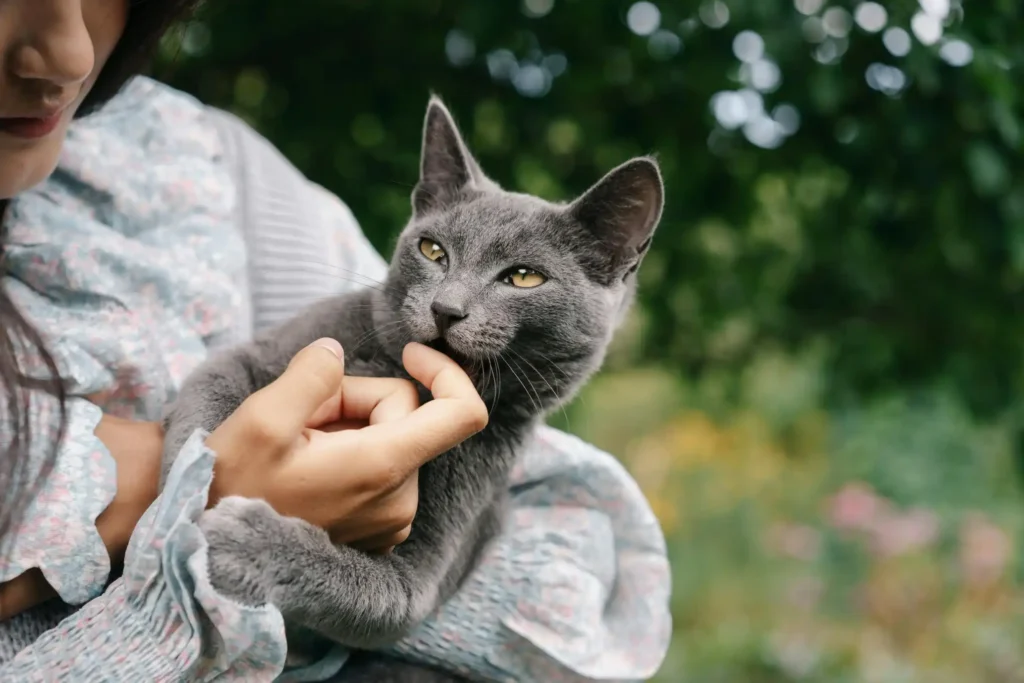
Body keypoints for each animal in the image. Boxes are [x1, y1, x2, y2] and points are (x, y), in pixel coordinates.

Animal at [159, 97, 663, 683]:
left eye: (523, 278)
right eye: (432, 249)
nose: (446, 308)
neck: (407, 380)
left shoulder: (428, 569)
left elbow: (374, 596)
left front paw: (245, 543)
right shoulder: (256, 356)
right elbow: (211, 396)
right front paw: (187, 490)